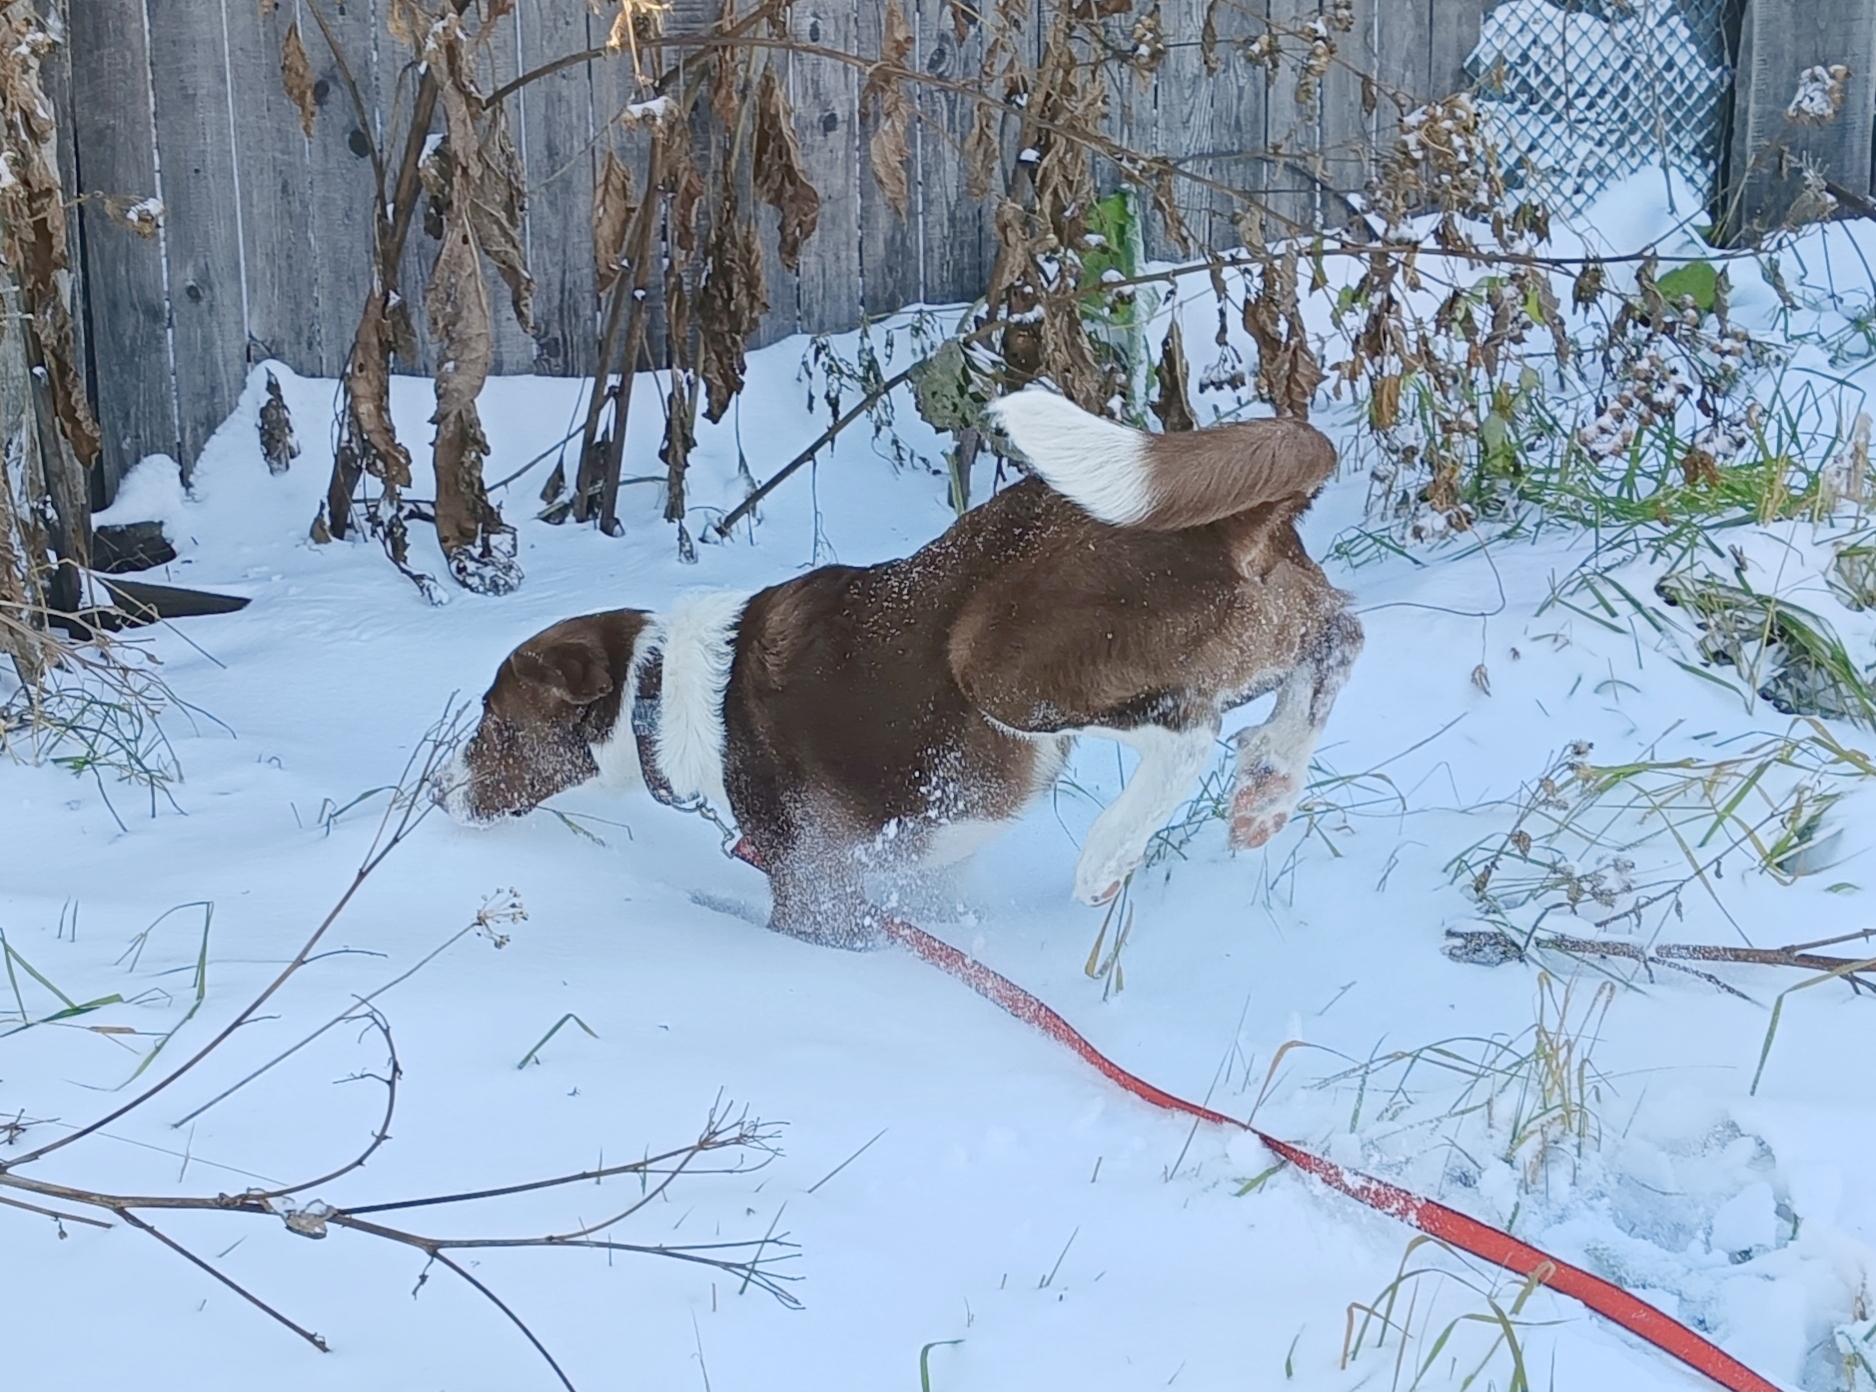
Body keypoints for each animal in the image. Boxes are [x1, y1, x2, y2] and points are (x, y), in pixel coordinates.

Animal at [444, 392, 1358, 953]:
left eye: (498, 726)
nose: (436, 792)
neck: (661, 692)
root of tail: (1232, 517)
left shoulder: (814, 886)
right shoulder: (922, 880)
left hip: (1002, 663)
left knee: (1190, 734)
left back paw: (1110, 854)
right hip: (1265, 630)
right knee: (1338, 637)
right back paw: (1269, 787)